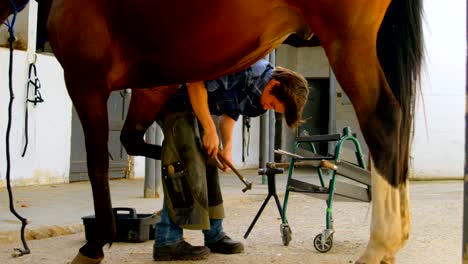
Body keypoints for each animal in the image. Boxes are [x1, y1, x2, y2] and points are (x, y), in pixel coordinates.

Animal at [0, 1, 424, 262]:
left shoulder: (85, 78)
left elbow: (97, 164)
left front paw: (94, 244)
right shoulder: (155, 83)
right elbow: (134, 140)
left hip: (347, 39)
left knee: (385, 119)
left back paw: (378, 246)